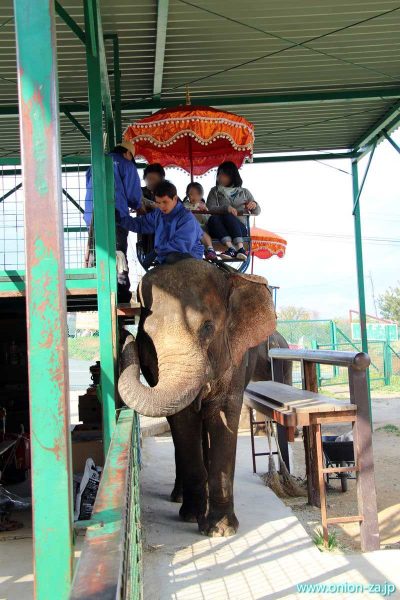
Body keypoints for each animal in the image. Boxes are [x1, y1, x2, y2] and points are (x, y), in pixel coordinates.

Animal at [118, 260, 278, 536]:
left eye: (207, 327)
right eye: (145, 335)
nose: (124, 333)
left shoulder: (235, 359)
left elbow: (224, 412)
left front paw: (221, 530)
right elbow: (183, 421)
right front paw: (193, 516)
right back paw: (180, 497)